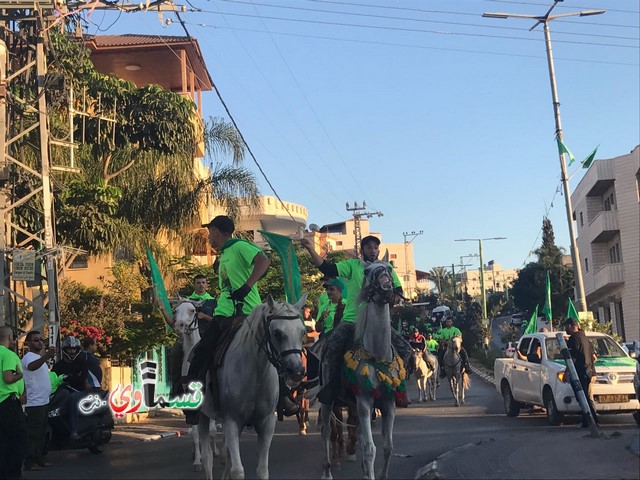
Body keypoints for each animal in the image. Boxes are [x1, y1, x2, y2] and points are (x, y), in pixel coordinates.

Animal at [171, 302, 221, 470]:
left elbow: (212, 430)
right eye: (176, 310)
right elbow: (195, 433)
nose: (179, 326)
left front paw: (214, 452)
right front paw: (198, 461)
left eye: (192, 310)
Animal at [199, 294, 308, 478]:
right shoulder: (232, 421)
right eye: (277, 333)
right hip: (202, 417)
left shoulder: (266, 423)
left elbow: (262, 470)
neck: (256, 373)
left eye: (302, 332)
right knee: (207, 457)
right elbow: (237, 471)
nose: (297, 371)